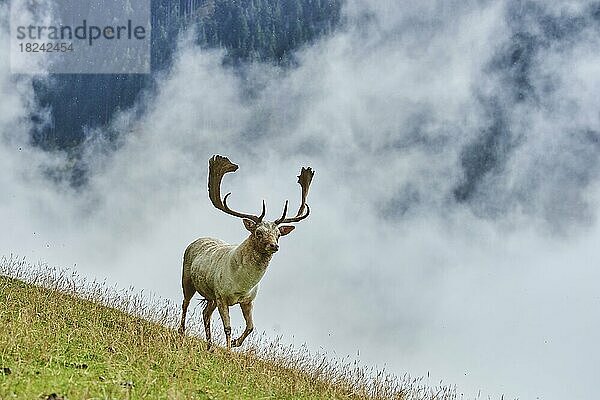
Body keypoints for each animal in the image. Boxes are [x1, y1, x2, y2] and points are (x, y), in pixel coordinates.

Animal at [178, 155, 314, 350]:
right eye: (258, 232)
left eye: (279, 234)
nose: (274, 246)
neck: (241, 284)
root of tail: (197, 240)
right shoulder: (222, 296)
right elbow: (228, 327)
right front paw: (228, 350)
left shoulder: (248, 300)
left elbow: (250, 327)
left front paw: (235, 343)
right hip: (187, 279)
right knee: (185, 303)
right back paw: (182, 333)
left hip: (210, 296)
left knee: (205, 313)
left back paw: (210, 345)